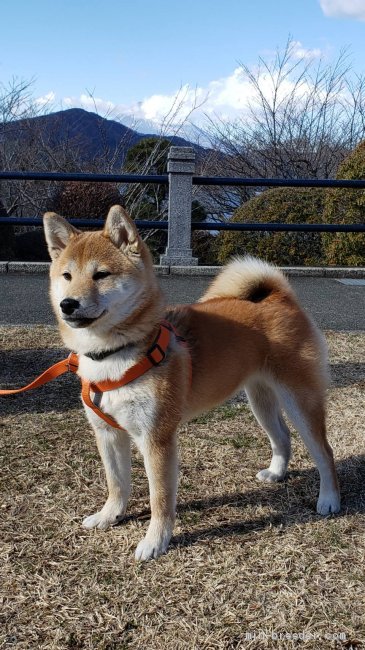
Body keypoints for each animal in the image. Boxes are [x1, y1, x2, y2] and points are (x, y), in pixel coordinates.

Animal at [43, 206, 342, 556]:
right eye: (66, 276)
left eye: (101, 275)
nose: (67, 304)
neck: (113, 355)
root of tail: (280, 298)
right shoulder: (107, 432)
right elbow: (116, 483)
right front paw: (110, 516)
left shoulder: (156, 438)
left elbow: (160, 499)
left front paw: (155, 542)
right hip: (260, 399)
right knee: (281, 436)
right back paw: (277, 473)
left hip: (299, 398)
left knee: (324, 452)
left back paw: (330, 499)